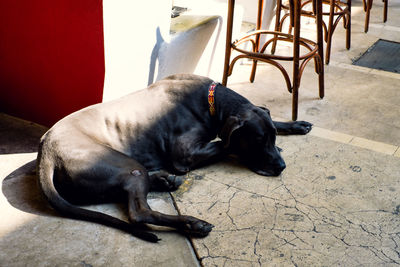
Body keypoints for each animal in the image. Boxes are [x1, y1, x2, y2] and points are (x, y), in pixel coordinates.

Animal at [36, 73, 312, 243]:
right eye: (257, 140)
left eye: (270, 136)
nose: (281, 167)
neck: (211, 101)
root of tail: (45, 153)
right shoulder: (186, 154)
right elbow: (225, 145)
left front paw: (295, 125)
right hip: (127, 166)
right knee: (140, 213)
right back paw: (192, 223)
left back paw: (164, 181)